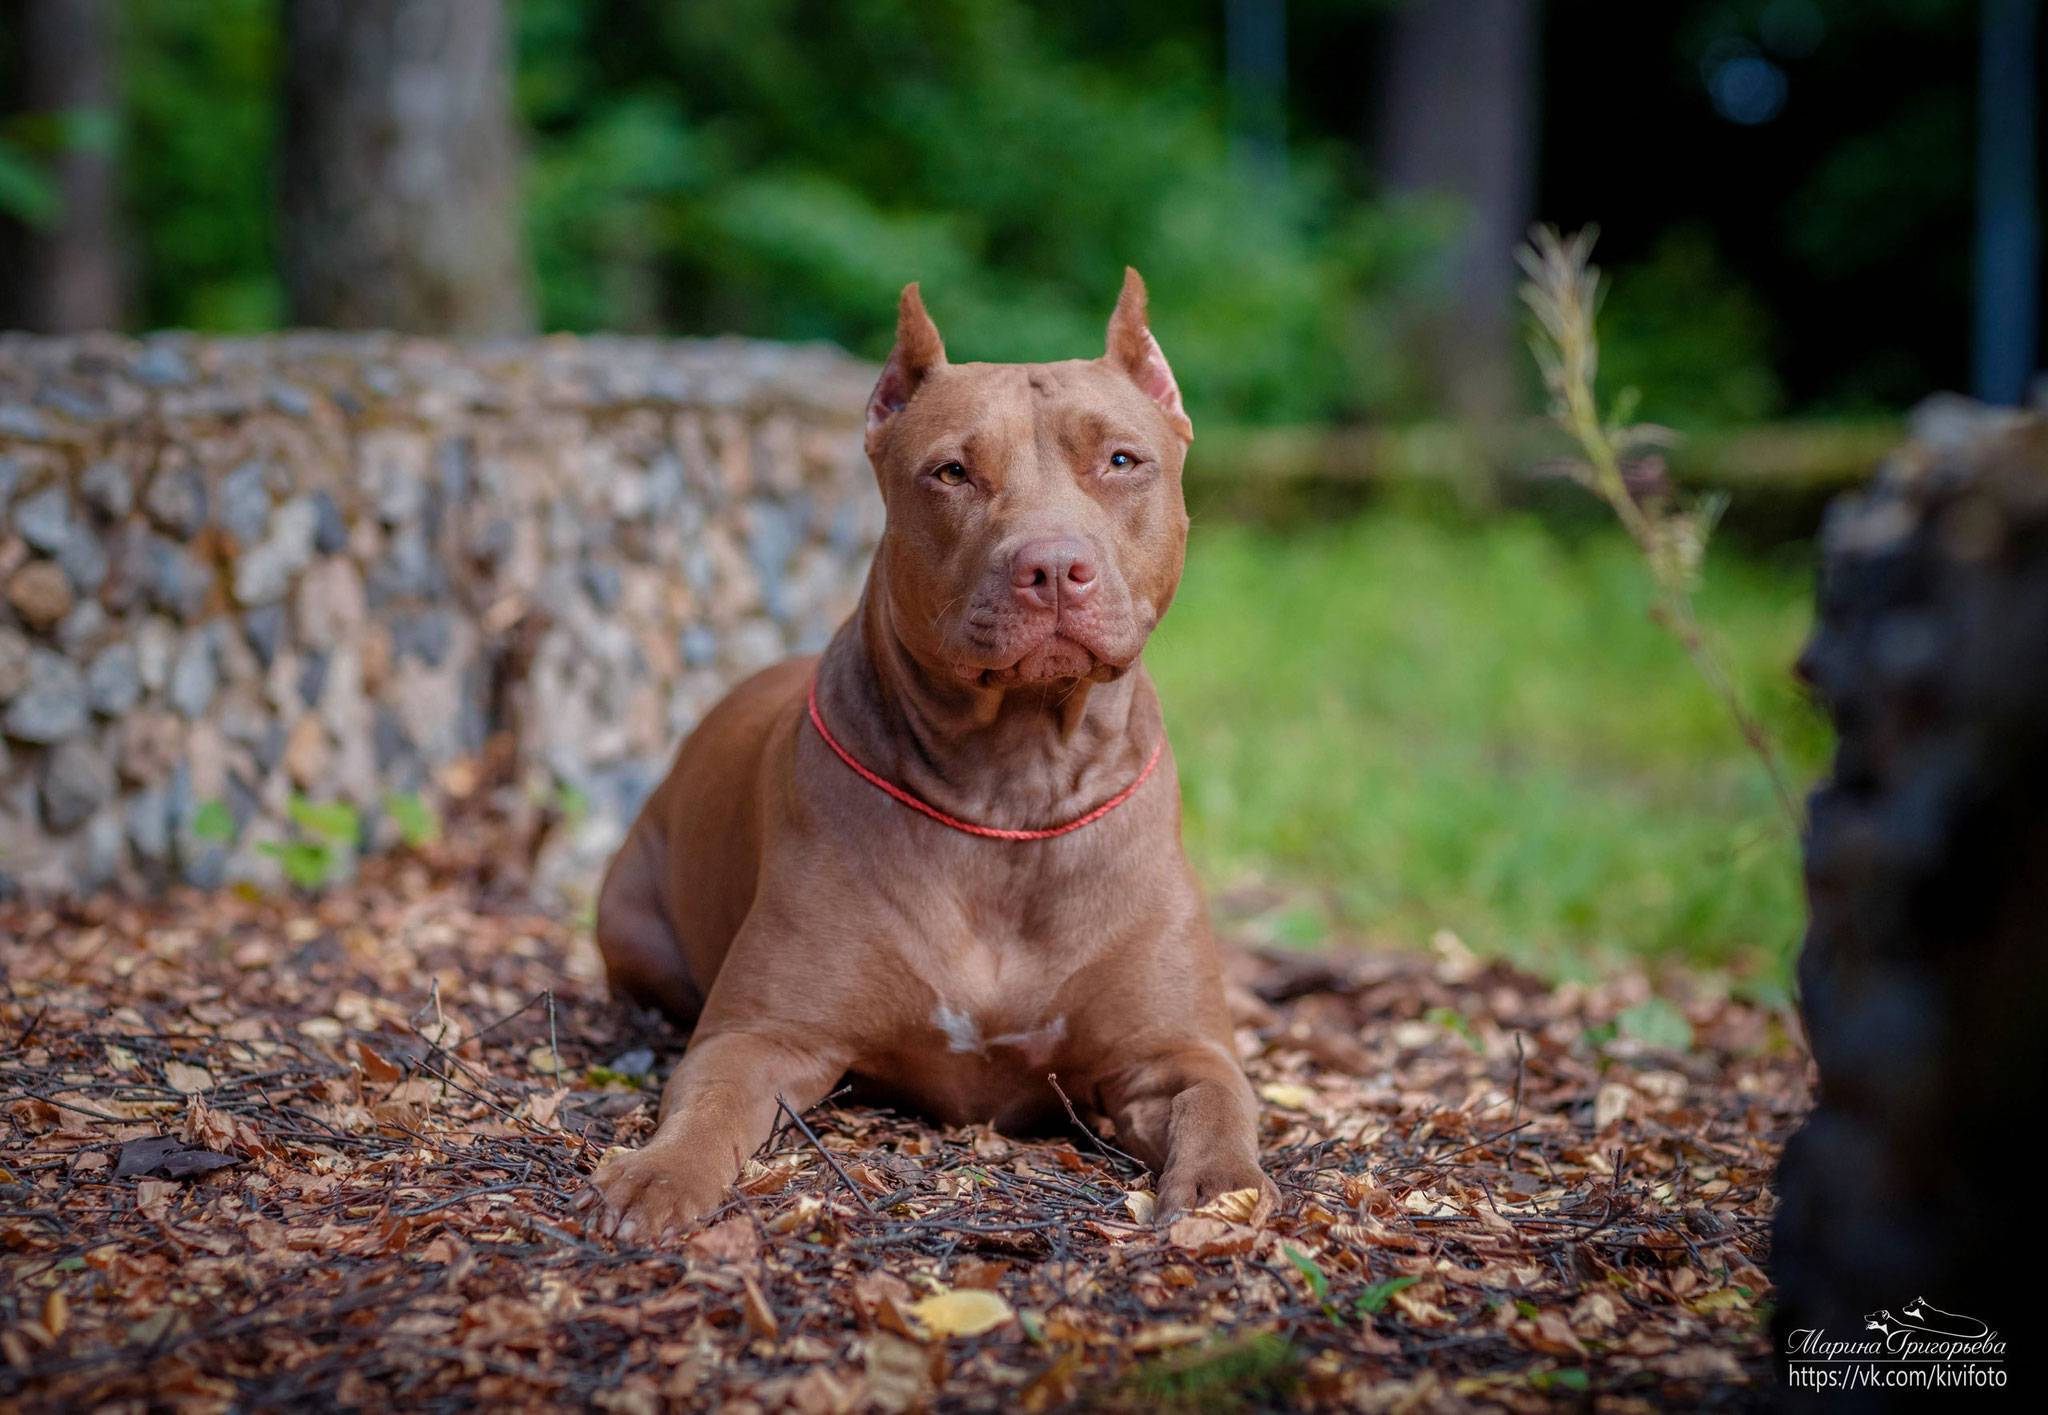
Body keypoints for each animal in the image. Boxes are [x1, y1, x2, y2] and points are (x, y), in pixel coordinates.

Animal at [585, 270, 1269, 1245]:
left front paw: (1220, 1192)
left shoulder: (1176, 1051)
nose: (1052, 567)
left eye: (1122, 460)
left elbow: (1218, 1104)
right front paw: (656, 1174)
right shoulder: (760, 1035)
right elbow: (707, 1105)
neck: (1011, 788)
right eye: (952, 471)